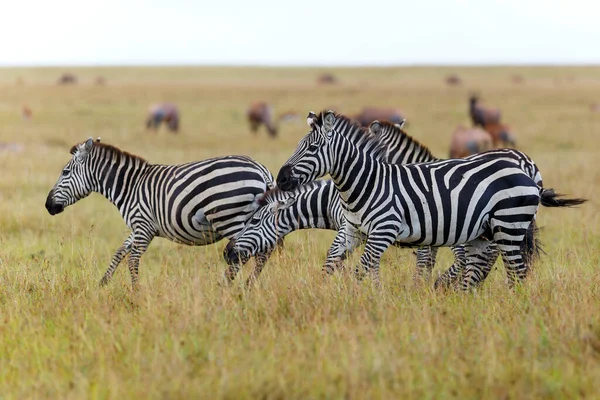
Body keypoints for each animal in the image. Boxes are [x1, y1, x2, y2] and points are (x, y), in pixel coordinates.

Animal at [45, 138, 276, 288]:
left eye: (65, 172)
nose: (48, 205)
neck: (129, 186)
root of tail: (261, 170)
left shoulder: (143, 226)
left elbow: (132, 259)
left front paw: (136, 294)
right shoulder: (140, 226)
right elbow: (120, 252)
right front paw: (102, 284)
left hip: (230, 217)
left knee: (247, 254)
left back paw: (227, 285)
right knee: (261, 252)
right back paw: (247, 285)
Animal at [274, 111, 584, 290]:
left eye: (312, 148)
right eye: (299, 146)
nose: (282, 178)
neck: (369, 182)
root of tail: (525, 166)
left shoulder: (390, 230)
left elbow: (365, 269)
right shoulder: (354, 231)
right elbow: (333, 261)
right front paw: (327, 295)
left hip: (508, 225)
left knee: (514, 270)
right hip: (496, 230)